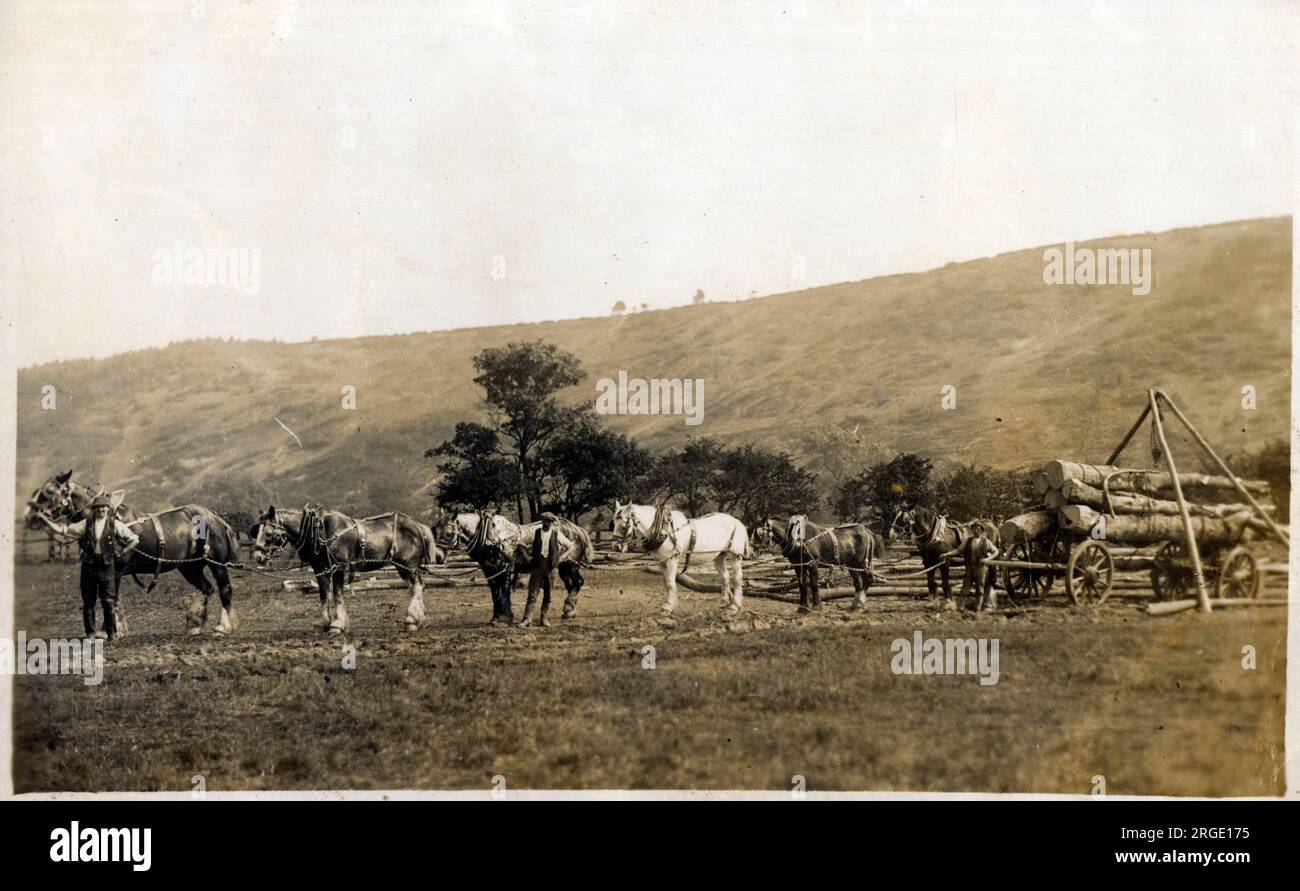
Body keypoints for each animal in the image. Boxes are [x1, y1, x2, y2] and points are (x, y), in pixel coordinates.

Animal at [252, 504, 436, 634]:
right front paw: (324, 623)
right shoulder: (321, 570)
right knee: (416, 587)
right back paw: (419, 619)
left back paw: (411, 621)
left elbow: (338, 594)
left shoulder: (338, 567)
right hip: (402, 567)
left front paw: (337, 625)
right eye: (257, 531)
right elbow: (324, 595)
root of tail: (418, 526)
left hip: (408, 565)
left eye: (268, 533)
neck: (321, 531)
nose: (258, 556)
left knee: (416, 587)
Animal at [754, 515, 883, 611]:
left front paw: (817, 606)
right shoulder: (798, 566)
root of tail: (867, 532)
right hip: (852, 565)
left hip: (861, 563)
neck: (799, 539)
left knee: (867, 580)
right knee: (858, 583)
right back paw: (856, 605)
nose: (752, 552)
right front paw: (803, 607)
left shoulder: (813, 563)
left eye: (758, 533)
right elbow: (802, 585)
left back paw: (860, 605)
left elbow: (814, 584)